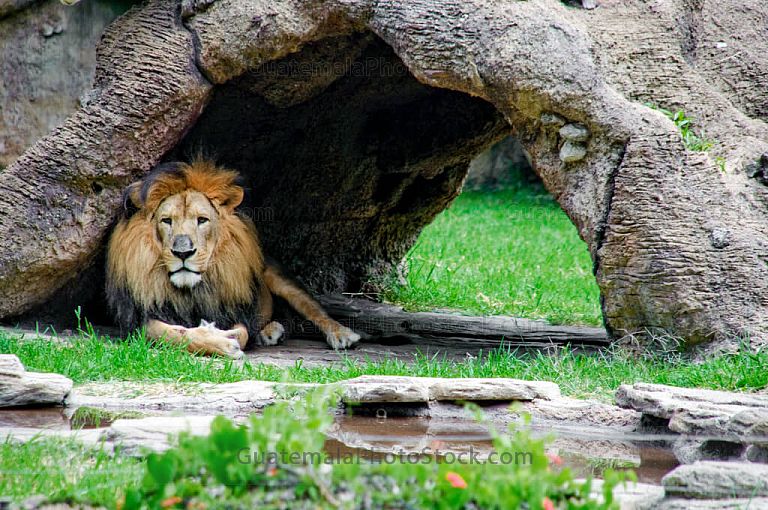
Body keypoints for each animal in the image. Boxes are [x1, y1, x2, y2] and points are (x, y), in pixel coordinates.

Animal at [105, 159, 360, 358]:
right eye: (166, 221)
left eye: (202, 220)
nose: (183, 252)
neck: (193, 290)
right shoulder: (139, 321)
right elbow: (176, 334)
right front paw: (217, 340)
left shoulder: (235, 310)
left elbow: (242, 332)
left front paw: (226, 337)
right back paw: (271, 331)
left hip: (280, 279)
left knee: (315, 309)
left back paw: (342, 334)